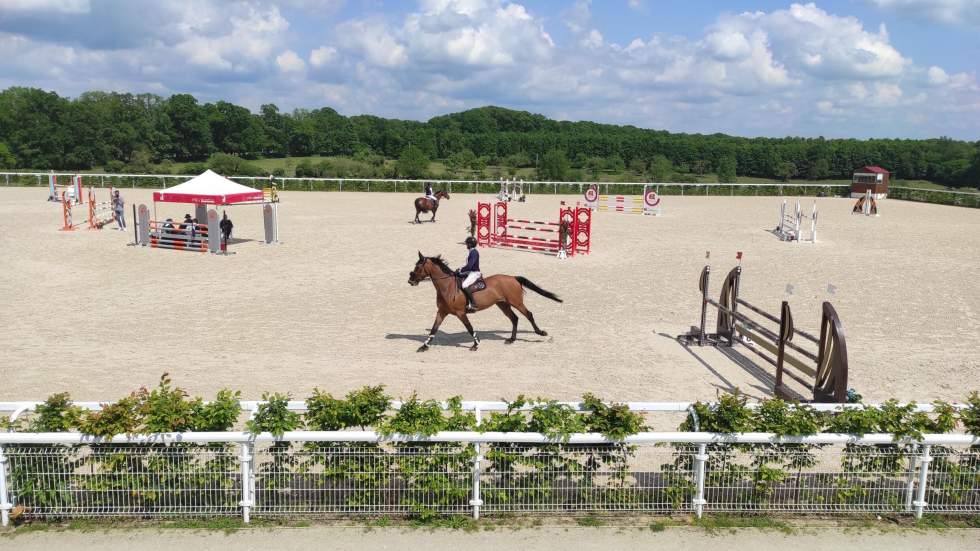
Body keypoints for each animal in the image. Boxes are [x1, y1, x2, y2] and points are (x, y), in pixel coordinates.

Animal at [406, 252, 560, 352]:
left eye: (418, 267)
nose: (410, 281)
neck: (447, 286)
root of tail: (513, 277)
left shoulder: (460, 313)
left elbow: (469, 328)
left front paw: (476, 344)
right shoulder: (442, 311)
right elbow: (434, 329)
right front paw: (424, 346)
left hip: (516, 302)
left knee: (528, 314)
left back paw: (540, 333)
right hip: (503, 304)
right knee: (514, 318)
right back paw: (511, 339)